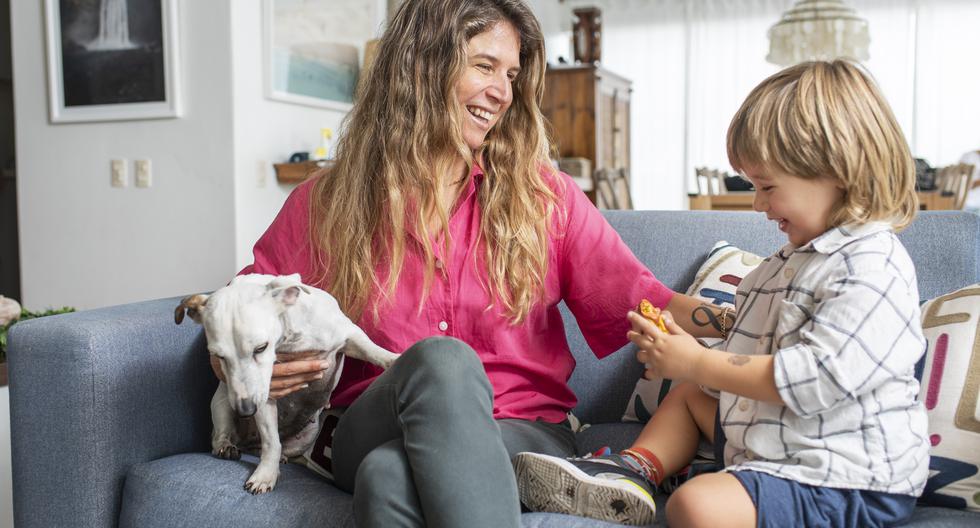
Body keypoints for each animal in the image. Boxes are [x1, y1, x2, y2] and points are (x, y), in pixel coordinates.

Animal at [174, 274, 396, 492]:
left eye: (261, 347)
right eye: (218, 356)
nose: (246, 410)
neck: (291, 337)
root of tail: (247, 442)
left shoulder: (349, 334)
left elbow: (373, 351)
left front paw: (394, 359)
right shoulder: (267, 396)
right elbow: (271, 441)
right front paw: (266, 474)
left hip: (308, 435)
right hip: (222, 402)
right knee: (222, 435)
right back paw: (226, 447)